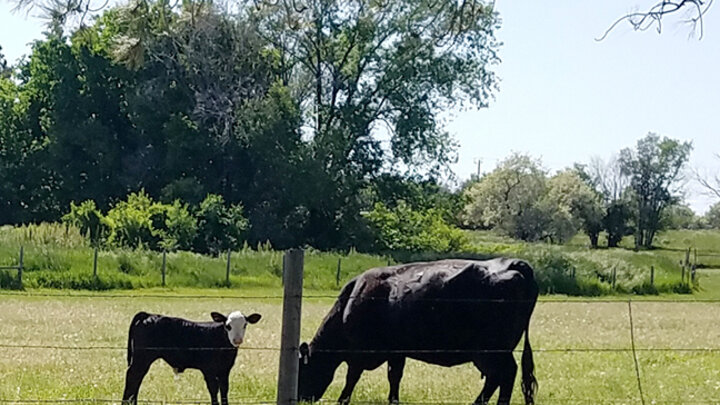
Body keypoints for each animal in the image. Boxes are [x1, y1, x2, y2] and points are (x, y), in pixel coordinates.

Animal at [121, 310, 262, 404]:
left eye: (245, 325)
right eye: (228, 326)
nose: (237, 340)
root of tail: (148, 315)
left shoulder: (224, 370)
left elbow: (224, 390)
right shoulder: (208, 370)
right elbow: (213, 390)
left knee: (137, 378)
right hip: (142, 358)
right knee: (133, 376)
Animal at [296, 258, 536, 404]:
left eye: (301, 370)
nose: (299, 398)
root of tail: (513, 263)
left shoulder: (359, 352)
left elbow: (351, 379)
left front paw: (341, 401)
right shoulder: (396, 351)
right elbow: (394, 377)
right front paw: (393, 401)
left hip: (490, 350)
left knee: (505, 374)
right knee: (499, 377)